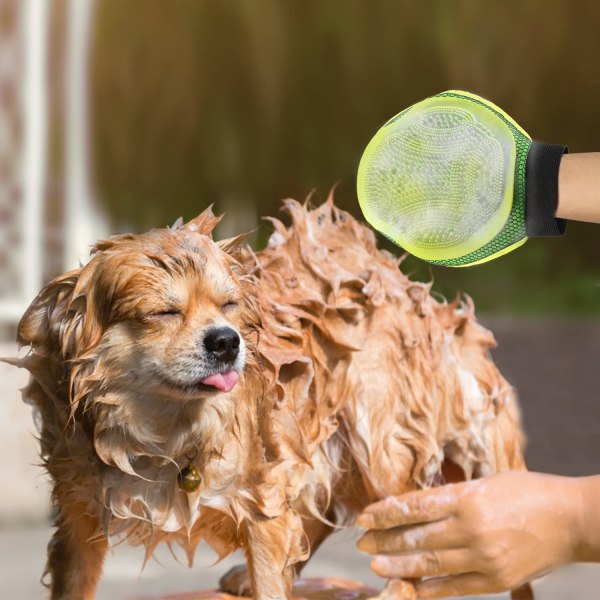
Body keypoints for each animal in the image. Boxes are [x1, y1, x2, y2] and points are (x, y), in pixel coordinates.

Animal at [8, 198, 524, 600]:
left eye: (229, 305)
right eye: (164, 313)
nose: (226, 341)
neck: (162, 432)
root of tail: (415, 294)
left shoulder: (263, 496)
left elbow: (272, 570)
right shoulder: (78, 515)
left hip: (378, 435)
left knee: (406, 528)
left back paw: (397, 589)